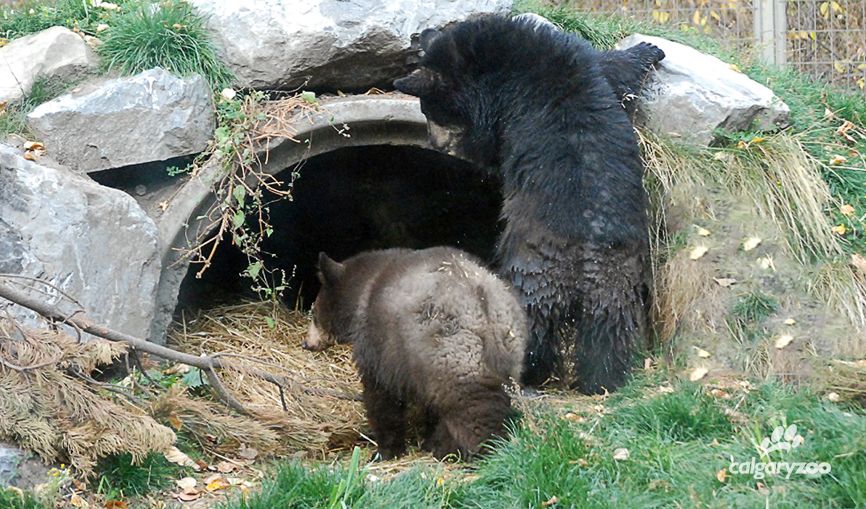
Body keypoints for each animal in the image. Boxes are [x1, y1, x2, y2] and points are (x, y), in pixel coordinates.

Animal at [303, 247, 527, 460]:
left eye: (313, 313)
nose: (306, 343)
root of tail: (483, 307)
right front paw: (427, 439)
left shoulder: (380, 344)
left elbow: (382, 396)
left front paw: (386, 450)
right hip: (508, 351)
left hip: (450, 349)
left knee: (472, 404)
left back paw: (478, 448)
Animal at [394, 15, 661, 394]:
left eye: (431, 111)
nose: (434, 142)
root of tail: (584, 266)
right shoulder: (582, 64)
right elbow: (613, 67)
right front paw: (650, 49)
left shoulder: (500, 99)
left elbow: (489, 144)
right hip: (616, 283)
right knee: (608, 331)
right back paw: (603, 379)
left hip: (534, 272)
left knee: (527, 319)